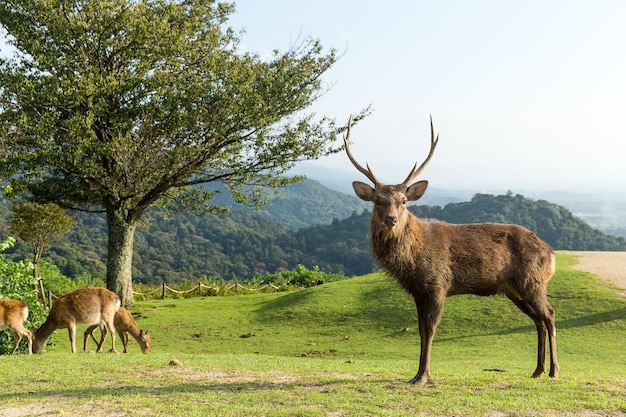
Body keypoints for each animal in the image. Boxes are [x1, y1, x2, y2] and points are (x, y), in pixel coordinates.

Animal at [344, 115, 560, 386]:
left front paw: (423, 376)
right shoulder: (417, 291)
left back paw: (554, 370)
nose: (391, 219)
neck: (413, 260)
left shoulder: (439, 283)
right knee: (538, 320)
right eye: (377, 200)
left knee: (549, 314)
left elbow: (430, 328)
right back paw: (537, 370)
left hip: (533, 281)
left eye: (403, 201)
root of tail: (551, 254)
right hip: (514, 289)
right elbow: (420, 330)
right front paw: (415, 374)